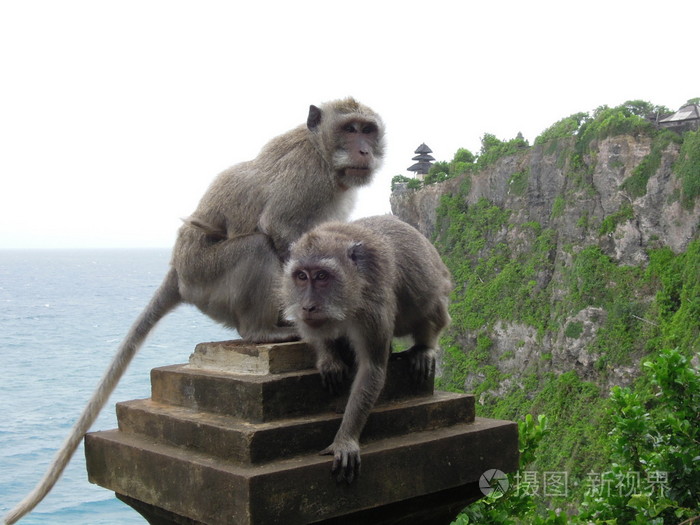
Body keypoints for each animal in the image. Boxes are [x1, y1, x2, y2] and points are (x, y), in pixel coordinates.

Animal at [4, 98, 382, 524]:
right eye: (350, 129)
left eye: (368, 129)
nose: (364, 151)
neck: (321, 152)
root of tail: (178, 272)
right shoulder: (305, 177)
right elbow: (280, 230)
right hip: (209, 278)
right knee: (256, 246)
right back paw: (263, 331)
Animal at [280, 214, 452, 484]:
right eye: (301, 276)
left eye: (322, 276)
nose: (308, 306)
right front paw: (329, 360)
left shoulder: (373, 306)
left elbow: (371, 369)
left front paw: (345, 440)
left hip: (438, 296)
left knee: (429, 306)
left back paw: (424, 348)